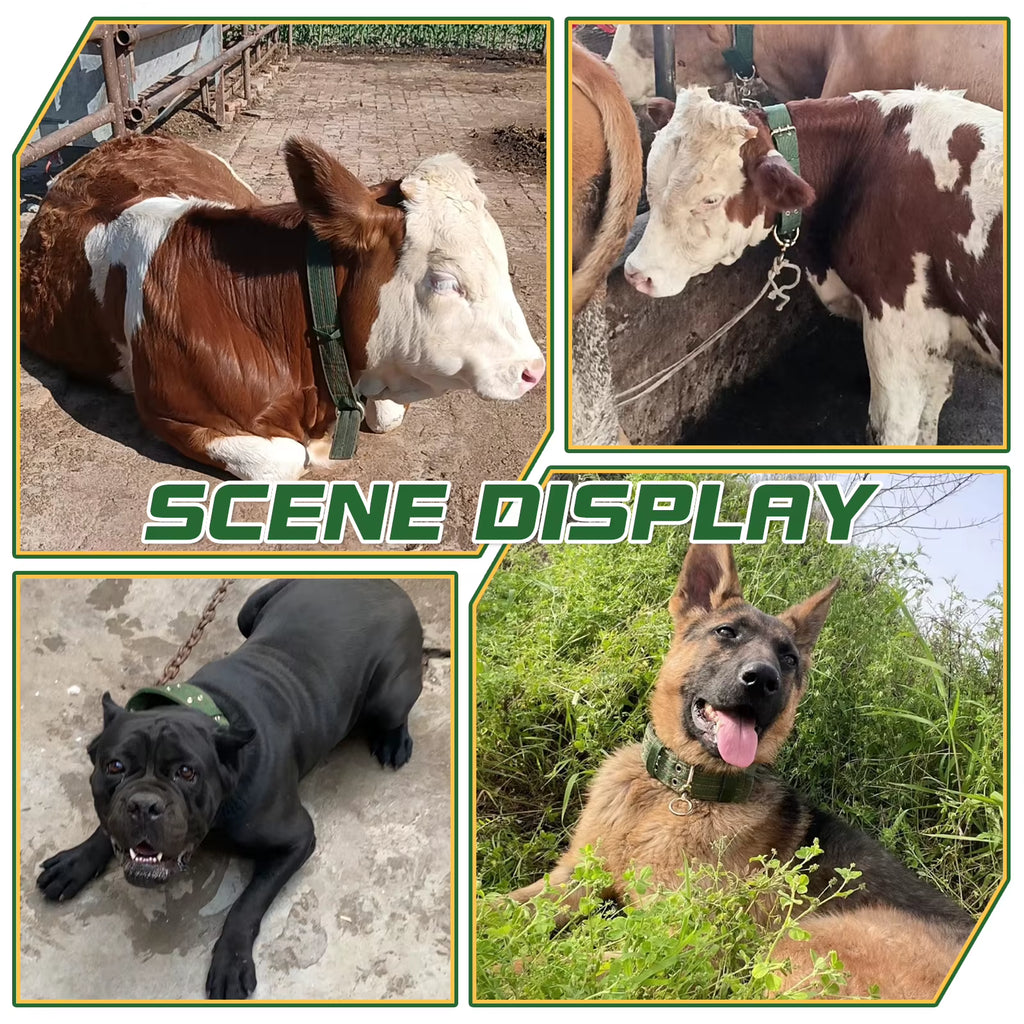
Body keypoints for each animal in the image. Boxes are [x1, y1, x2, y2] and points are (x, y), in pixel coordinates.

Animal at [623, 87, 1003, 446]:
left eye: (710, 199)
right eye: (650, 183)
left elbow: (892, 428)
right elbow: (930, 415)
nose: (636, 273)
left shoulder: (896, 325)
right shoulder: (938, 334)